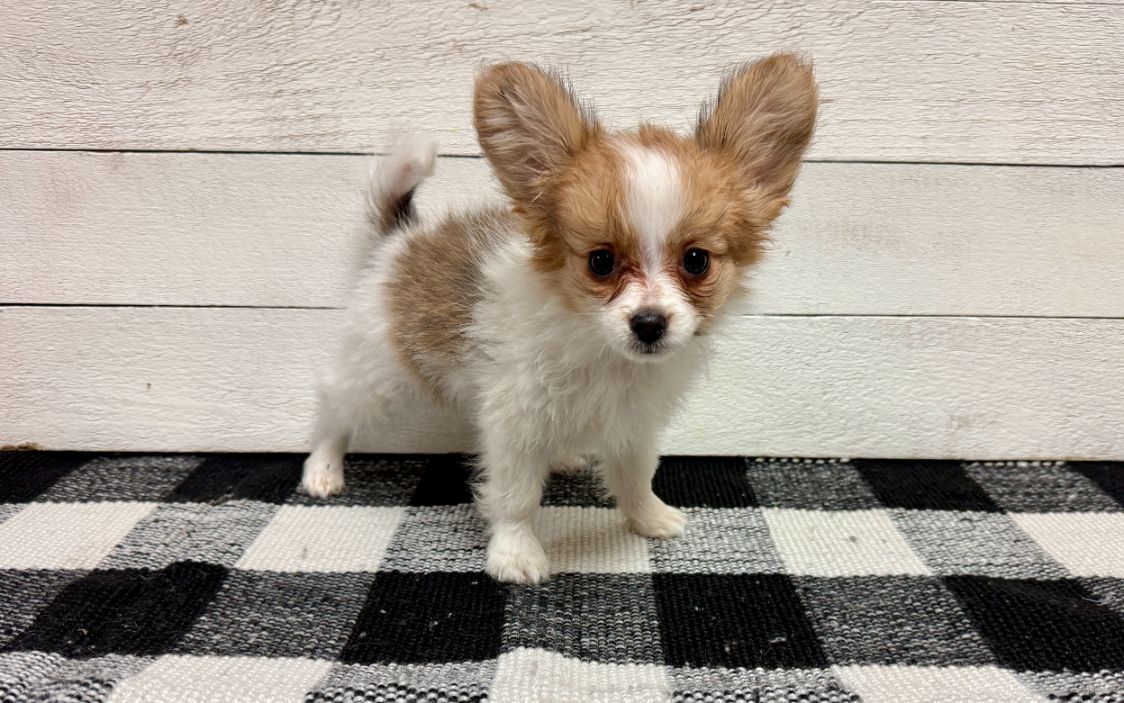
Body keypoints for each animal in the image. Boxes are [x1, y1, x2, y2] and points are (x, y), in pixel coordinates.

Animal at [301, 54, 818, 584]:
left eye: (697, 261)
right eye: (600, 262)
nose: (649, 323)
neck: (602, 351)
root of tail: (402, 239)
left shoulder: (635, 423)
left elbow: (636, 475)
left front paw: (648, 518)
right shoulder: (514, 421)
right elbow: (516, 496)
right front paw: (515, 553)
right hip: (377, 372)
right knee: (334, 410)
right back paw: (322, 469)